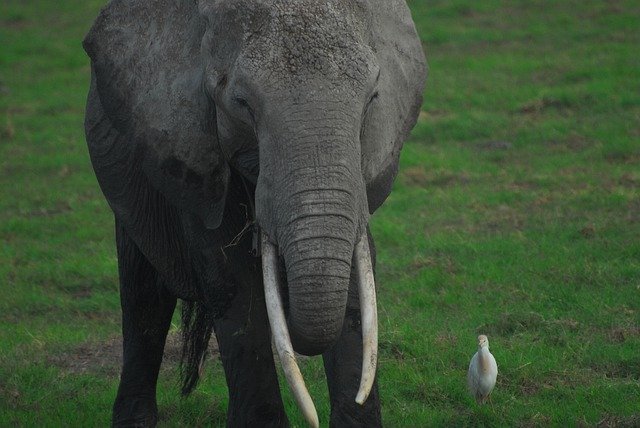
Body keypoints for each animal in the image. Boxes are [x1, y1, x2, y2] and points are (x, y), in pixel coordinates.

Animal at [82, 0, 428, 426]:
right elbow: (231, 279)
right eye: (242, 104)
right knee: (143, 296)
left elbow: (354, 278)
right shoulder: (191, 152)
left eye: (372, 99)